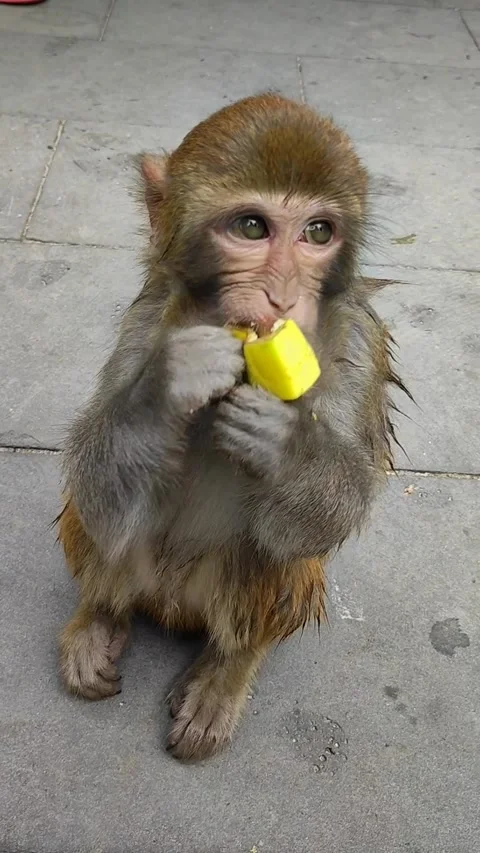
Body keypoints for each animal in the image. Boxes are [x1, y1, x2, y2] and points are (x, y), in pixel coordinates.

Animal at [56, 92, 406, 761]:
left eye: (317, 233)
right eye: (251, 228)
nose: (283, 297)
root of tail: (171, 610)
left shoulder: (359, 339)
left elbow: (336, 509)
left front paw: (288, 446)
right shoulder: (149, 315)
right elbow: (97, 493)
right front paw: (167, 387)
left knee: (270, 549)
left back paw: (227, 670)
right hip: (141, 580)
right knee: (107, 524)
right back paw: (100, 617)